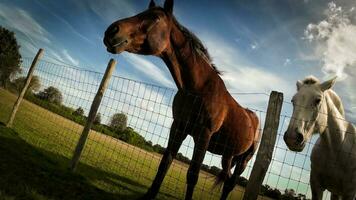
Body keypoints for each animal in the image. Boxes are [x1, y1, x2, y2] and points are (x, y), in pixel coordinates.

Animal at [104, 0, 260, 199]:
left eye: (156, 17)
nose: (112, 31)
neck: (198, 89)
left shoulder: (203, 135)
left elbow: (192, 174)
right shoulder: (178, 127)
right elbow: (165, 163)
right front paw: (150, 194)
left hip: (244, 160)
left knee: (230, 184)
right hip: (228, 155)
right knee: (227, 179)